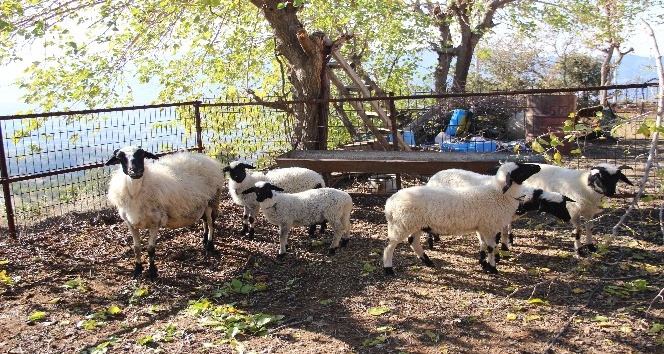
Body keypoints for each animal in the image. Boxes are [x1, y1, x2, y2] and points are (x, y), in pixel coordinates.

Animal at [106, 147, 224, 280]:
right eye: (120, 158)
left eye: (142, 155)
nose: (135, 171)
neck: (136, 192)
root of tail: (207, 159)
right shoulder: (130, 224)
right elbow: (137, 248)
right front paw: (137, 270)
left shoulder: (155, 222)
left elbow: (150, 249)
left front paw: (152, 272)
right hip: (203, 204)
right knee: (205, 221)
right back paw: (204, 241)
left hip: (212, 201)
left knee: (211, 224)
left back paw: (209, 246)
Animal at [382, 162, 544, 276]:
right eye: (520, 170)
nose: (537, 166)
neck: (498, 194)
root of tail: (389, 203)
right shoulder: (489, 226)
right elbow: (491, 247)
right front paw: (492, 268)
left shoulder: (482, 227)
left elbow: (483, 245)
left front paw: (483, 263)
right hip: (401, 225)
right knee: (389, 247)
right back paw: (388, 269)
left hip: (416, 224)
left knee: (413, 242)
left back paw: (428, 261)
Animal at [426, 168, 576, 253]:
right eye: (553, 206)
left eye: (564, 204)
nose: (568, 218)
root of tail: (433, 177)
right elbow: (500, 233)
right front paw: (502, 247)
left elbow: (505, 231)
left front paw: (505, 244)